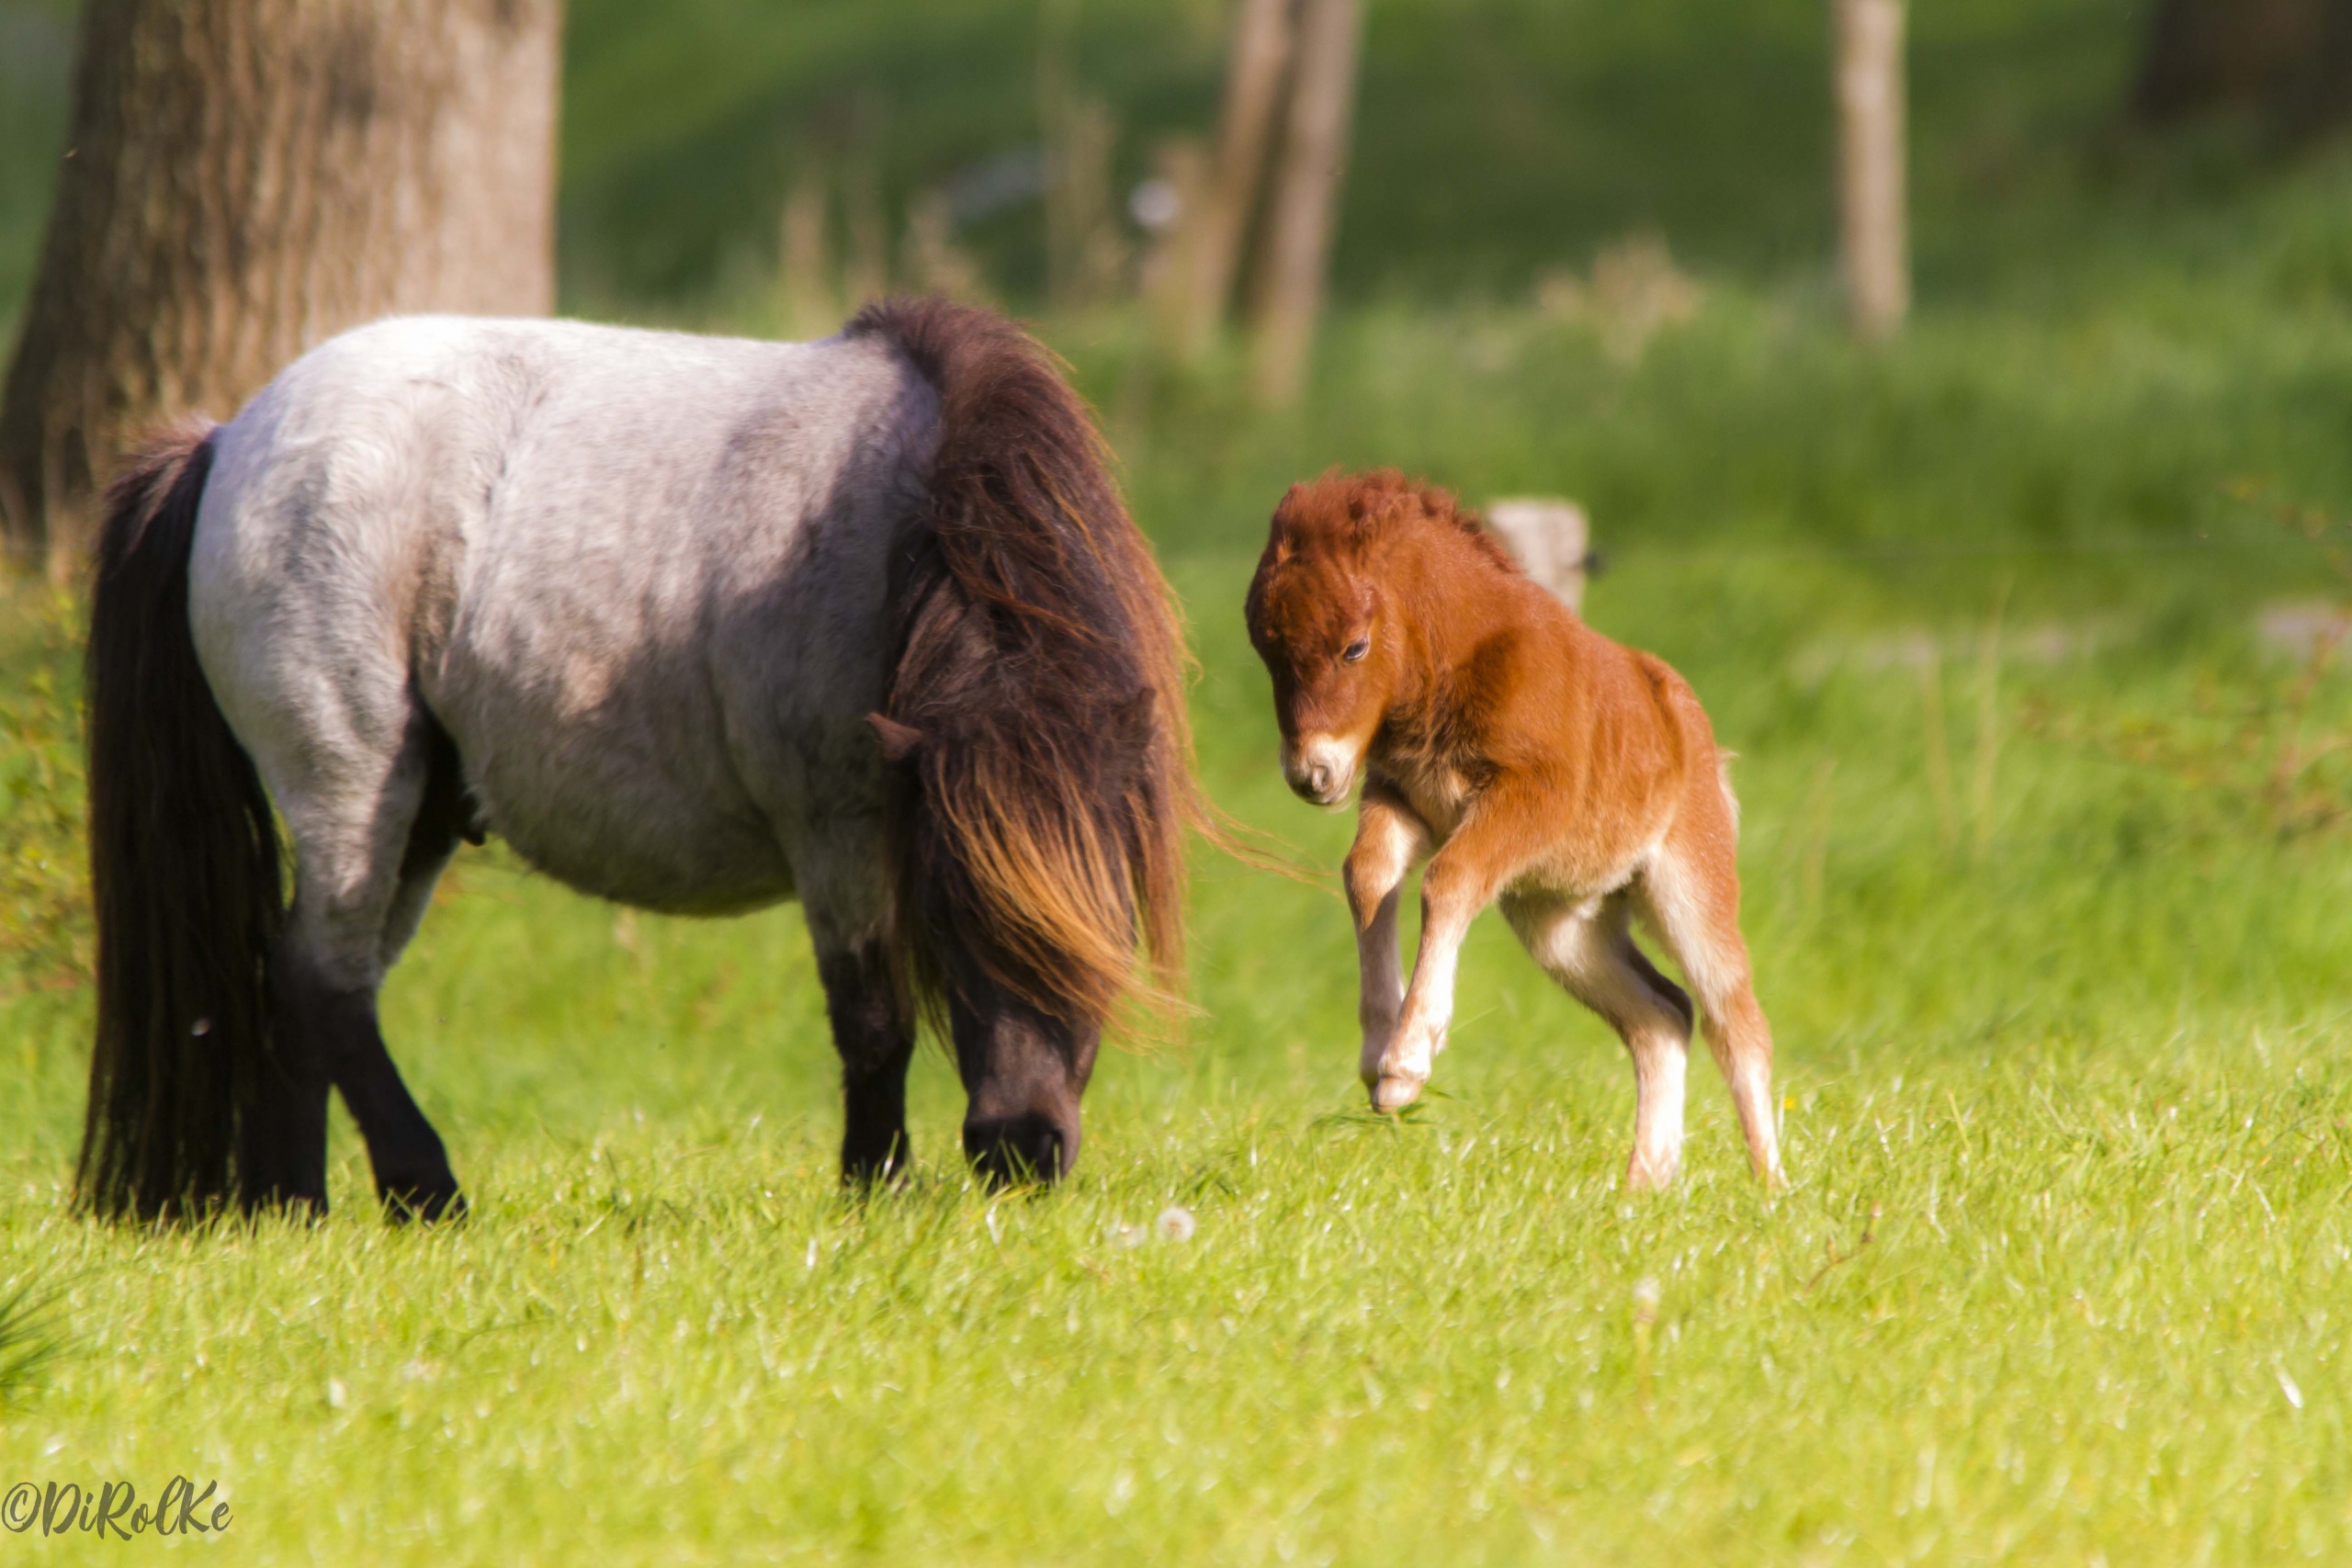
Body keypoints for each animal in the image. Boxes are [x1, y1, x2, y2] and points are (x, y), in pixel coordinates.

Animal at [1250, 469, 1778, 1189]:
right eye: (1267, 651)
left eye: (1353, 646)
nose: (1312, 775)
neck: (1453, 667)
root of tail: (1687, 717)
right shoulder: (1401, 797)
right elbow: (1367, 876)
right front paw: (1376, 1051)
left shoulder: (1527, 801)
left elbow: (1447, 879)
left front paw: (1406, 1065)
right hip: (1560, 924)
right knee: (1663, 1014)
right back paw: (1643, 1187)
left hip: (1688, 885)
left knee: (1734, 1018)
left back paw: (1770, 1185)